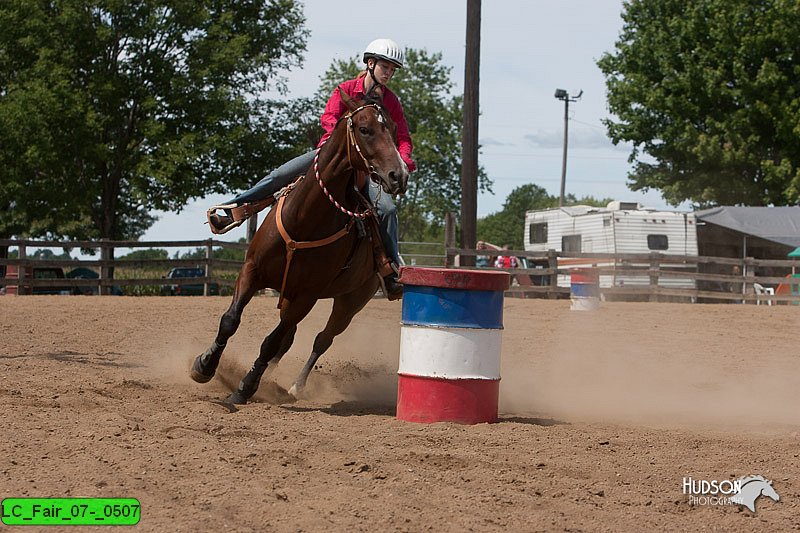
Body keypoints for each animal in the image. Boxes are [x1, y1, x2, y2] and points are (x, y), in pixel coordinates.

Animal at [191, 89, 410, 404]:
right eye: (364, 129)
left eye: (393, 129)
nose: (398, 175)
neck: (304, 219)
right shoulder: (252, 270)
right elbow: (230, 320)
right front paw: (205, 365)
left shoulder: (308, 295)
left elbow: (271, 342)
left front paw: (244, 388)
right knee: (289, 337)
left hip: (351, 301)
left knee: (321, 338)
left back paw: (294, 386)